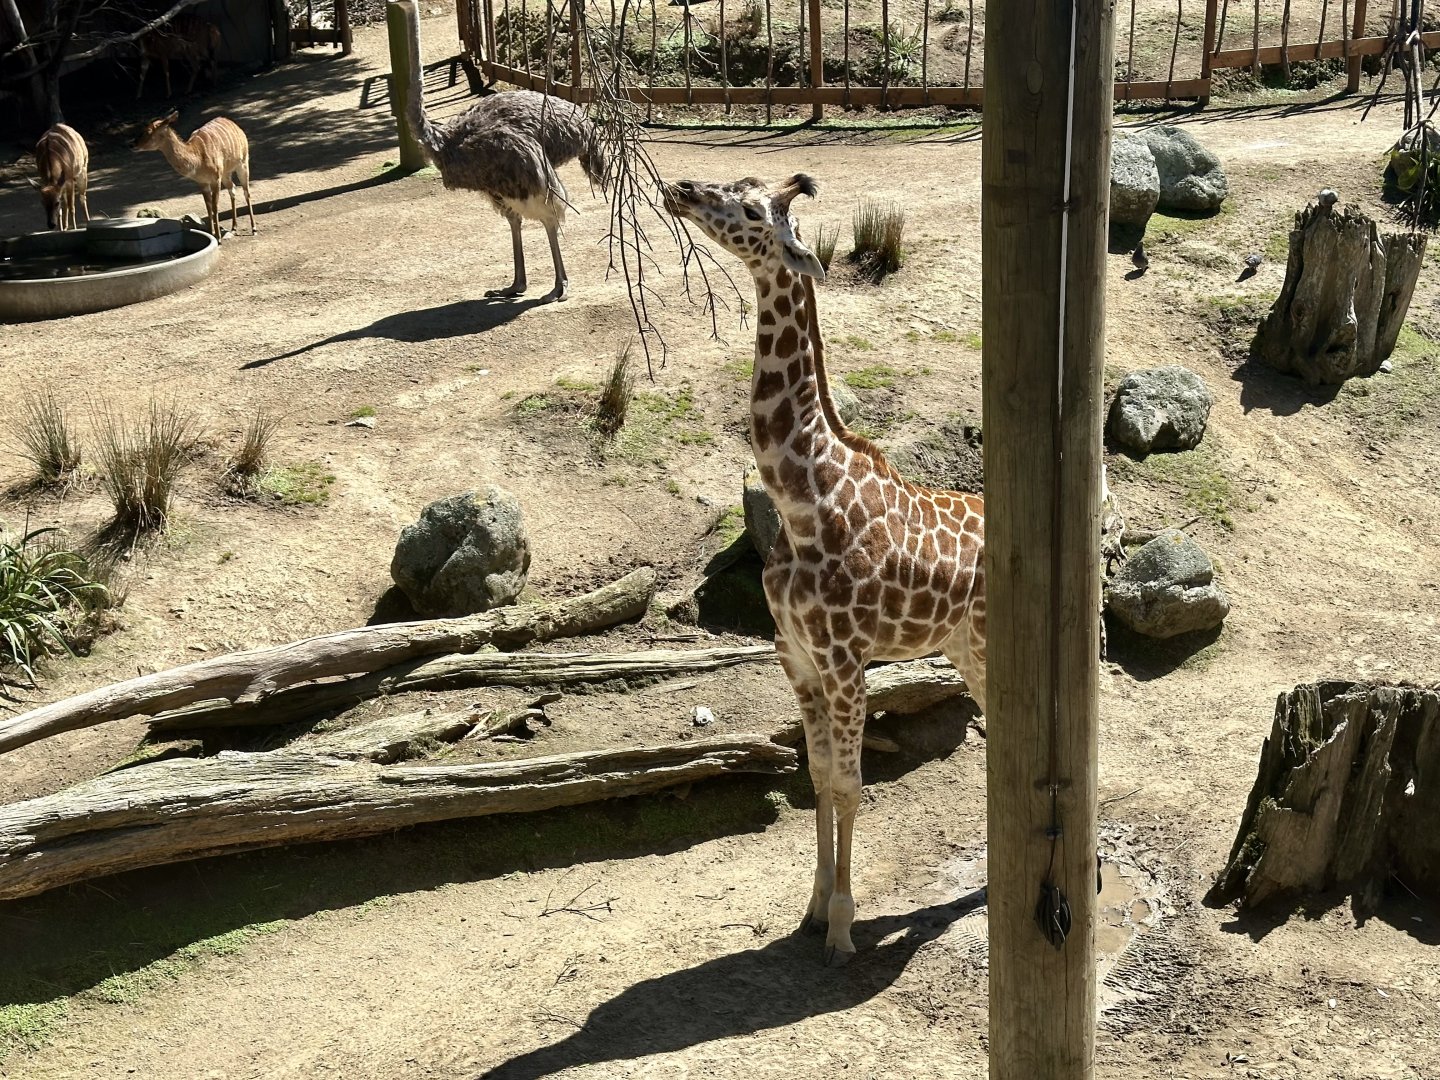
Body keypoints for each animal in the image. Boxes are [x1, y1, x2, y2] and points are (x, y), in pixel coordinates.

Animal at [663, 174, 986, 966]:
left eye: (752, 211)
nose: (680, 188)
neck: (803, 501)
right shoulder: (797, 660)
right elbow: (815, 778)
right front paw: (810, 912)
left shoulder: (845, 661)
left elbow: (849, 785)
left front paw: (841, 926)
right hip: (965, 647)